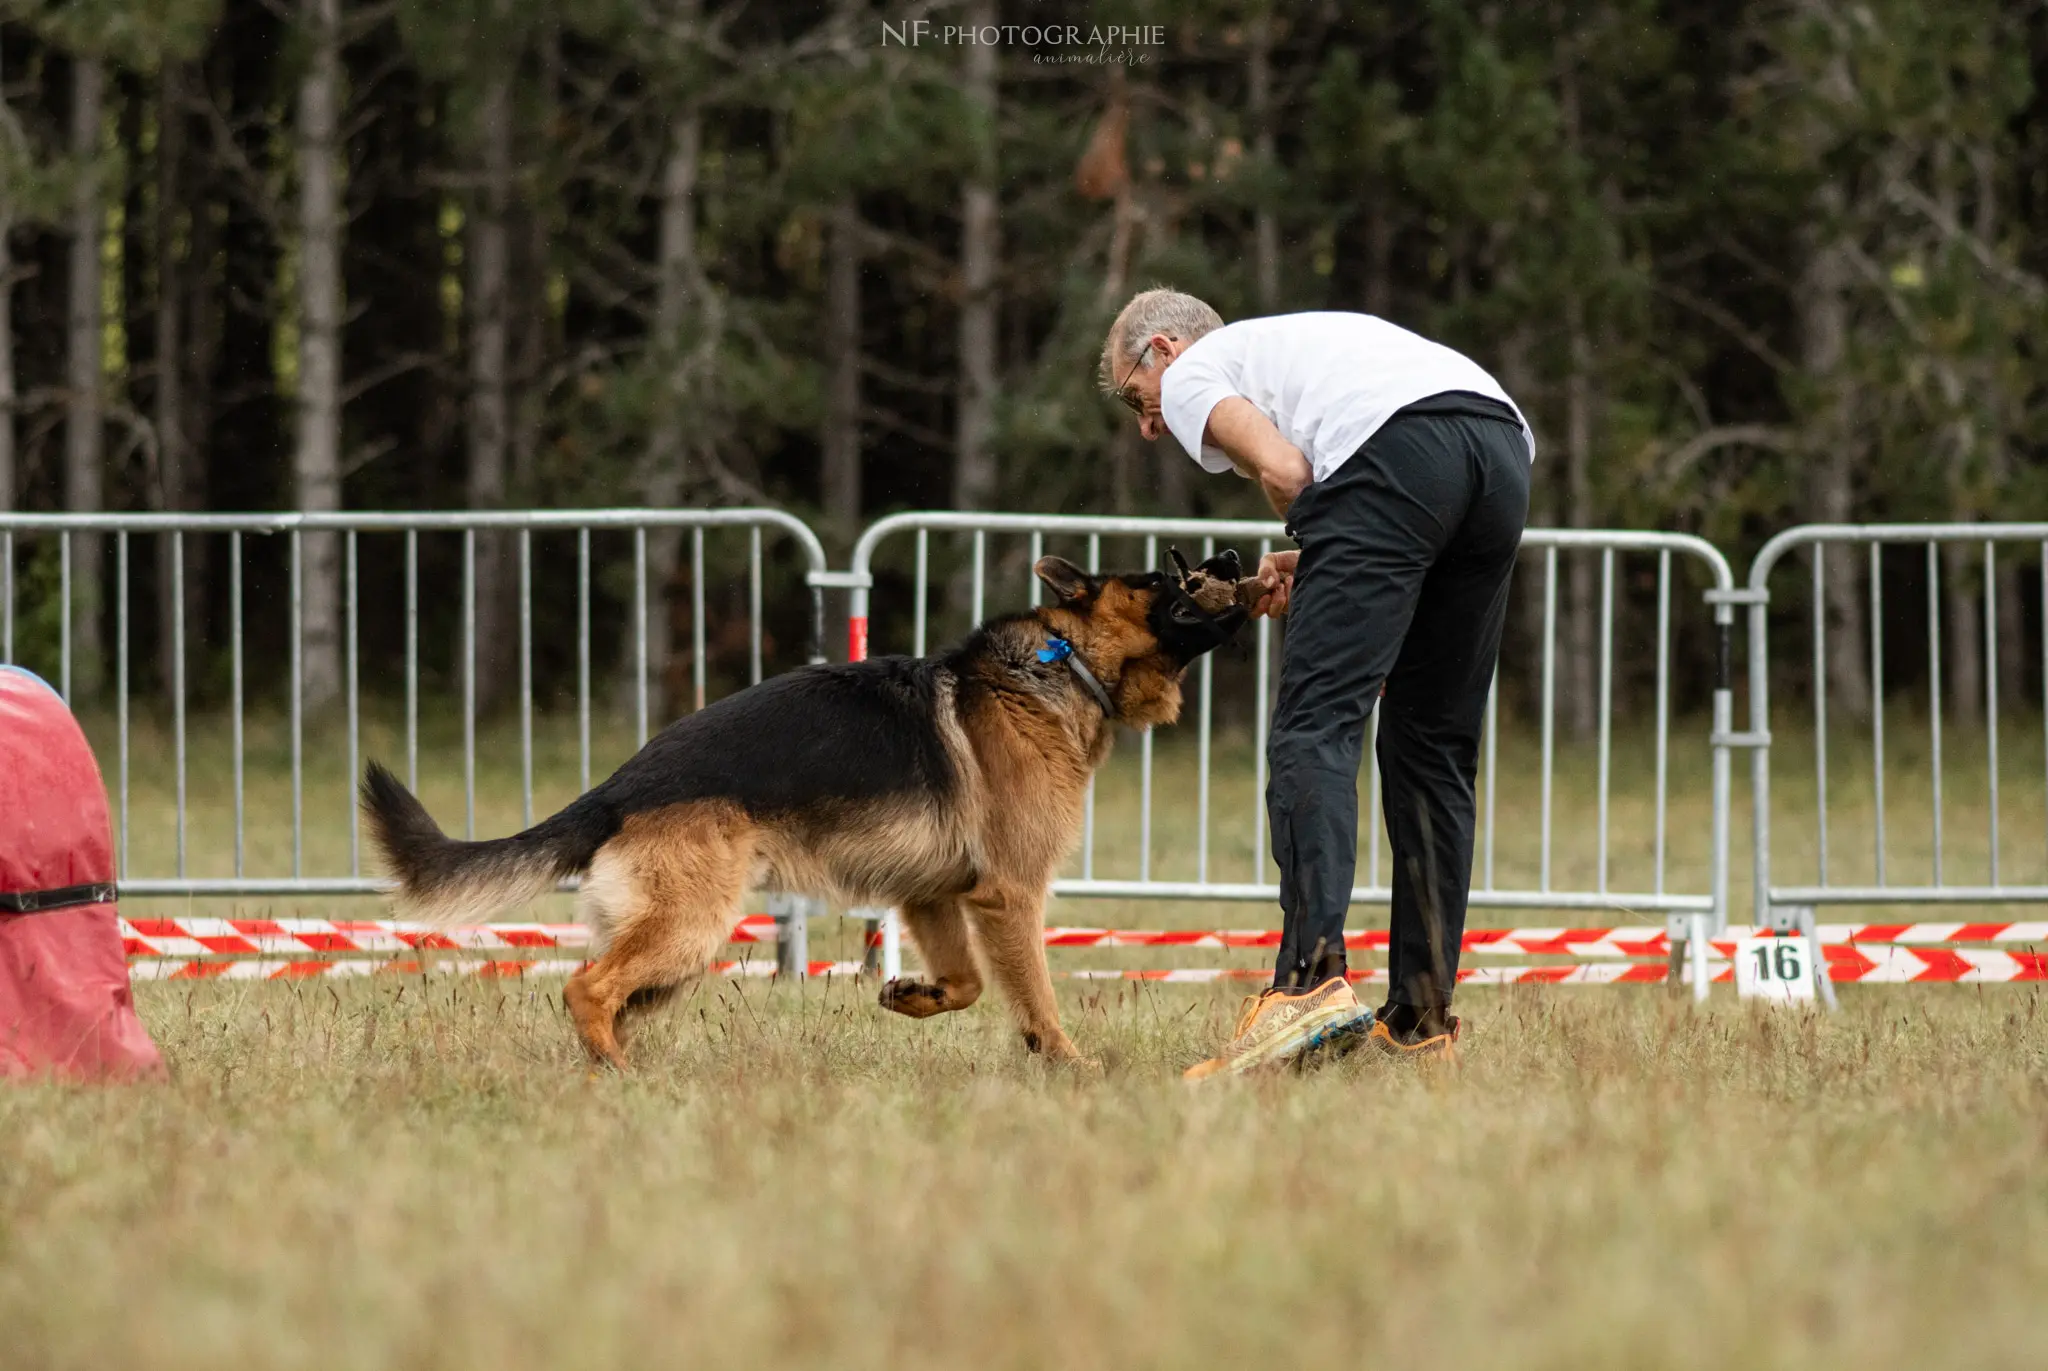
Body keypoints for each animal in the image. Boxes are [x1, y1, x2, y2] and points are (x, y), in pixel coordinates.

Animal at [358, 549, 1236, 1065]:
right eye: (1159, 581)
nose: (1229, 555)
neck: (1064, 662)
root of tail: (617, 788)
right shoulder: (1009, 896)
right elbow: (1036, 995)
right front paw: (1068, 1066)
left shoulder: (933, 895)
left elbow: (965, 983)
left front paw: (911, 996)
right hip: (689, 927)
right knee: (586, 988)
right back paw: (616, 1076)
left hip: (675, 943)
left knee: (607, 993)